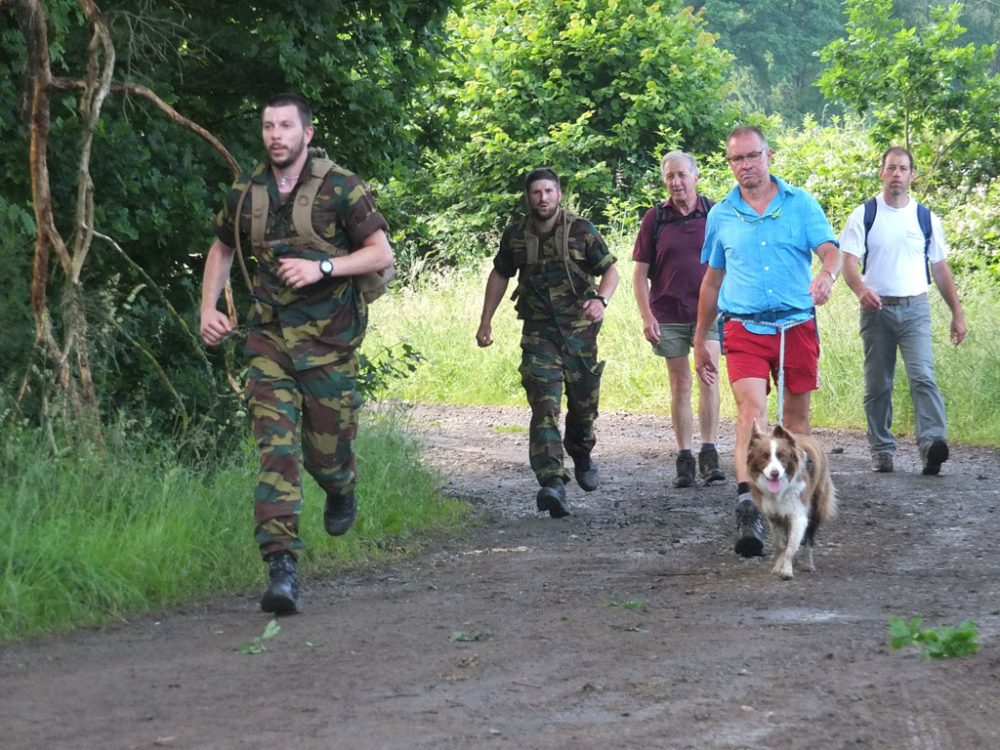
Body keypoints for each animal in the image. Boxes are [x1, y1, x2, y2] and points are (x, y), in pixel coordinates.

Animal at [752, 424, 836, 580]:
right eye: (764, 456)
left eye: (782, 456)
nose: (774, 474)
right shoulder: (773, 516)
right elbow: (780, 545)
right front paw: (778, 566)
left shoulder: (799, 515)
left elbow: (791, 547)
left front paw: (786, 570)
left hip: (816, 507)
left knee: (809, 537)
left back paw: (808, 564)